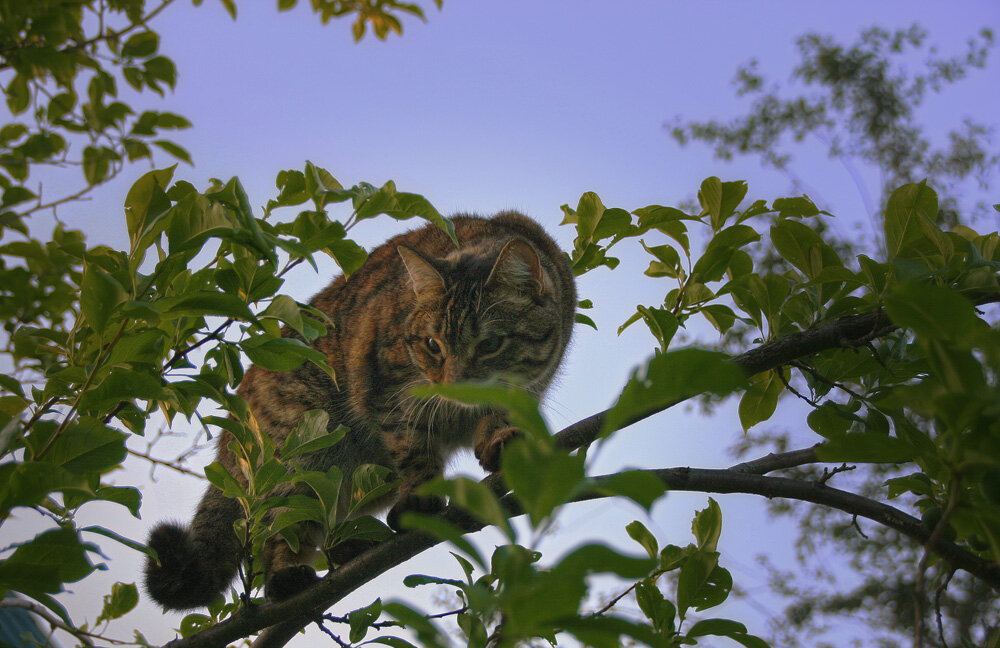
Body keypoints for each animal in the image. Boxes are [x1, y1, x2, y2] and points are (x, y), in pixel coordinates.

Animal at [145, 210, 576, 612]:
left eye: (489, 344)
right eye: (432, 345)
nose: (453, 384)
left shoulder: (528, 388)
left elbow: (501, 412)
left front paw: (500, 441)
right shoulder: (389, 394)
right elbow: (414, 449)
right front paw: (422, 494)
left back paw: (350, 547)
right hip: (305, 450)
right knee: (282, 526)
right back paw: (289, 576)